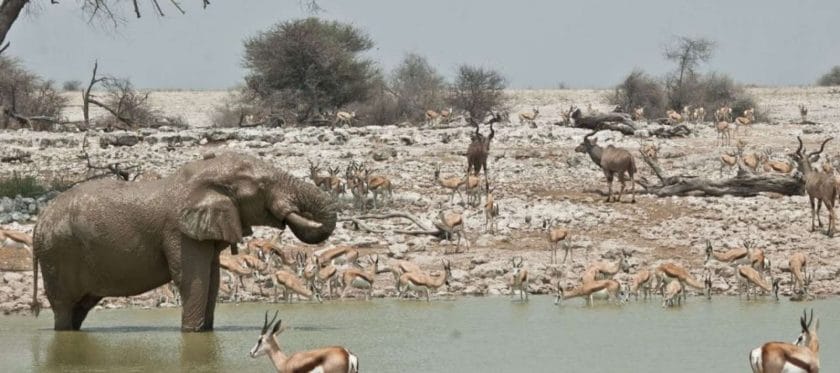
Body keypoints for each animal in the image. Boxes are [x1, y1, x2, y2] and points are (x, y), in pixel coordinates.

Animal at [32, 153, 336, 330]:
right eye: (263, 187)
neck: (206, 174)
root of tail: (38, 220)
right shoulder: (179, 231)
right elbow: (193, 280)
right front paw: (191, 334)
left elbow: (212, 281)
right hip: (57, 254)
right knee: (64, 306)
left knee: (80, 307)